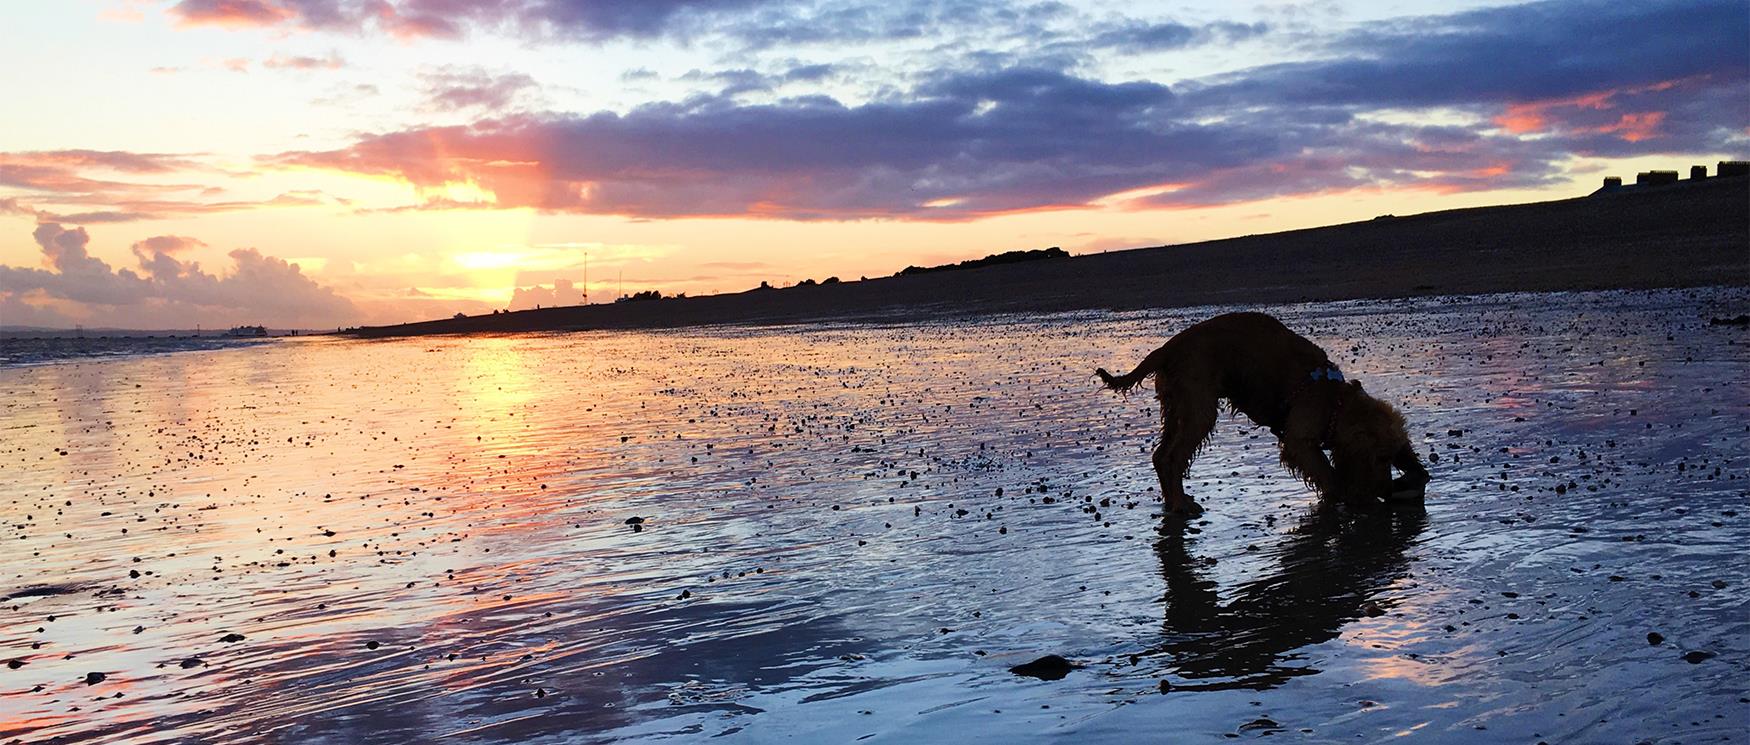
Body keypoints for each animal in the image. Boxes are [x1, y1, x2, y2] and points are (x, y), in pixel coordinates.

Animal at [1099, 311, 1428, 514]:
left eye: (1392, 458)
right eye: (1381, 458)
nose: (1387, 488)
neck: (1334, 400)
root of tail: (1168, 348)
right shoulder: (1299, 441)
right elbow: (1330, 476)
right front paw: (1350, 500)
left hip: (1176, 406)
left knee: (1160, 455)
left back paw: (1172, 502)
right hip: (1199, 408)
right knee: (1171, 457)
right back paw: (1181, 505)